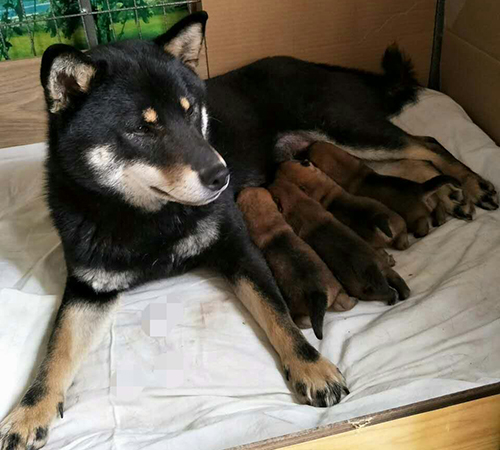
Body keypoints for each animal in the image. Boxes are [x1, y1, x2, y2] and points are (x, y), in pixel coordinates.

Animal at [270, 178, 410, 304]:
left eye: (272, 192)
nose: (270, 182)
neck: (298, 202)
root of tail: (373, 268)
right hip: (385, 268)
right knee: (396, 280)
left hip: (365, 291)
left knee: (388, 292)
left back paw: (392, 298)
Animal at [308, 142, 460, 237]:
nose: (308, 145)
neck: (350, 171)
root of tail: (421, 189)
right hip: (432, 200)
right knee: (439, 204)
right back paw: (440, 219)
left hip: (414, 217)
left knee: (423, 224)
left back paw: (419, 233)